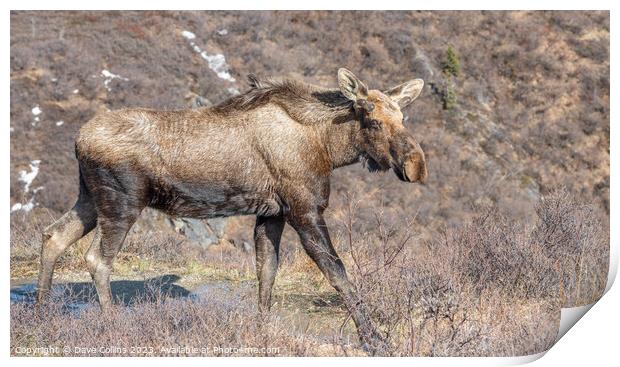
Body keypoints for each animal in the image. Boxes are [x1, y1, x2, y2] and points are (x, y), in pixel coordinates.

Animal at [37, 69, 426, 354]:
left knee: (53, 235)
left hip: (90, 198)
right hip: (121, 202)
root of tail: (78, 140)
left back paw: (43, 316)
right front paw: (374, 338)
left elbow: (266, 271)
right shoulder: (304, 208)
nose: (416, 165)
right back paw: (112, 324)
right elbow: (338, 272)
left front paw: (263, 328)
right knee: (96, 259)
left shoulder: (272, 213)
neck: (329, 146)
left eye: (403, 117)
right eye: (372, 120)